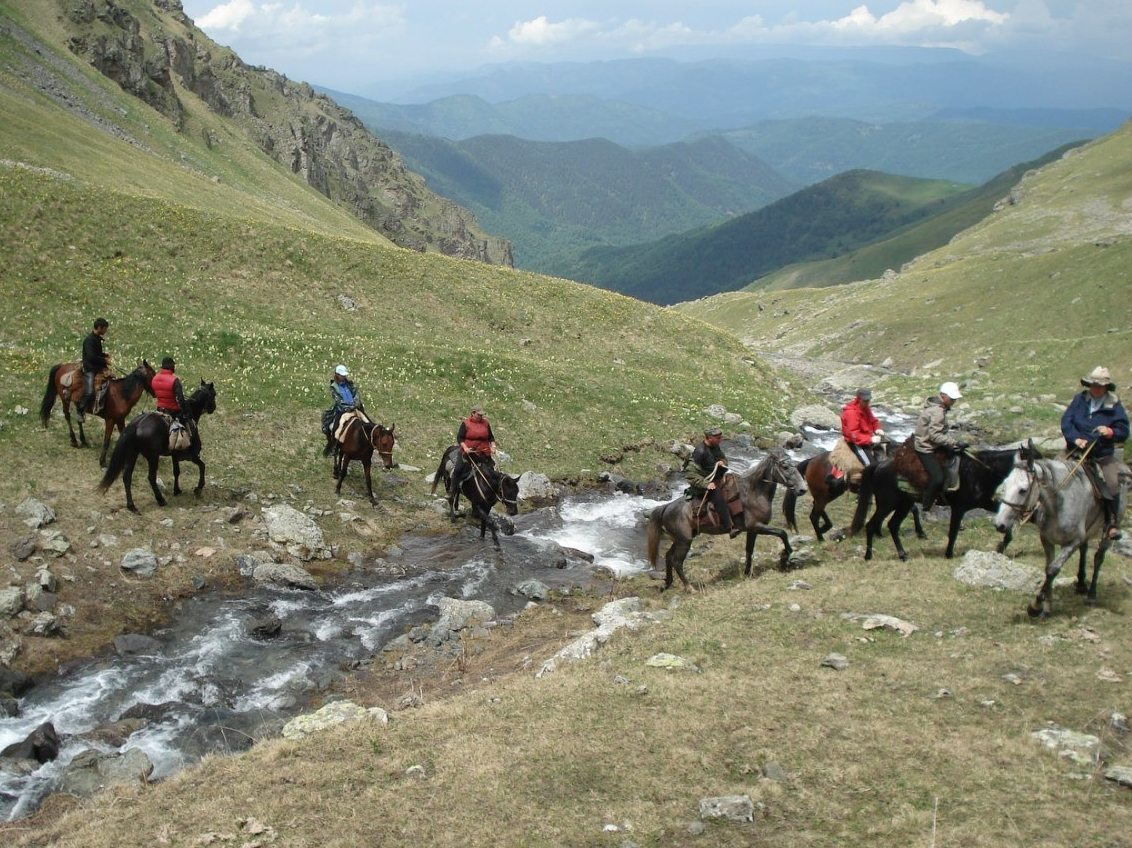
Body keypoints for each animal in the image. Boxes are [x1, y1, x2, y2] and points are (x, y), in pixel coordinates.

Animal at [98, 382, 217, 511]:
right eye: (213, 394)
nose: (213, 408)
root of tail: (136, 425)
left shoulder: (174, 455)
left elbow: (176, 471)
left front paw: (177, 490)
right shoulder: (192, 455)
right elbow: (202, 466)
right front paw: (198, 488)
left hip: (132, 454)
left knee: (127, 477)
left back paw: (131, 506)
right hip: (153, 457)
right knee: (151, 477)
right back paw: (160, 500)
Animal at [647, 446, 805, 593]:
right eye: (785, 467)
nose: (802, 489)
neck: (754, 492)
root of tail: (666, 507)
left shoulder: (752, 530)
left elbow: (749, 550)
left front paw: (747, 573)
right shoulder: (757, 526)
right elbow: (782, 533)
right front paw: (786, 556)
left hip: (680, 539)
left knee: (668, 556)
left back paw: (668, 583)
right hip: (684, 541)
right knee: (677, 562)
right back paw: (690, 588)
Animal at [851, 443, 1027, 561]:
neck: (980, 470)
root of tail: (879, 465)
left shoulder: (985, 502)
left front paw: (1003, 543)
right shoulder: (959, 508)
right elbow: (953, 532)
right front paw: (948, 554)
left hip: (903, 504)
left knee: (893, 525)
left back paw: (903, 555)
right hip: (887, 504)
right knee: (872, 525)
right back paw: (868, 555)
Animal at [996, 450, 1127, 615]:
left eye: (1023, 490)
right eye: (1005, 484)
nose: (999, 524)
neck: (1059, 506)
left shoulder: (1072, 542)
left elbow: (1053, 570)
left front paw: (1035, 606)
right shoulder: (1046, 539)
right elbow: (1048, 568)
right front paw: (1046, 608)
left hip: (1108, 534)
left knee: (1098, 558)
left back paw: (1091, 595)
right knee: (1084, 550)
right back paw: (1081, 584)